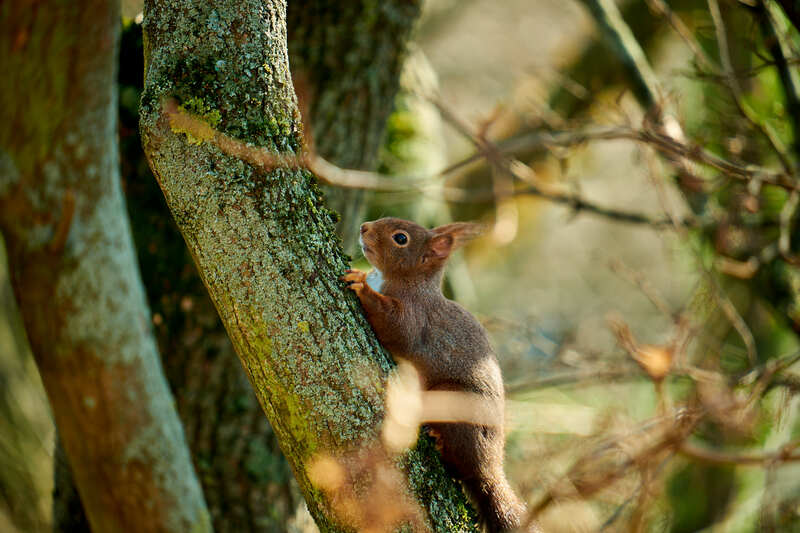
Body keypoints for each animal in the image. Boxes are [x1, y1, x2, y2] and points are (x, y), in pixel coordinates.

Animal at [340, 216, 532, 532]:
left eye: (401, 238)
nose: (364, 227)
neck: (411, 283)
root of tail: (490, 467)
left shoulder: (416, 317)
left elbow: (397, 328)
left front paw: (362, 286)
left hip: (454, 403)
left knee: (460, 466)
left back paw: (440, 441)